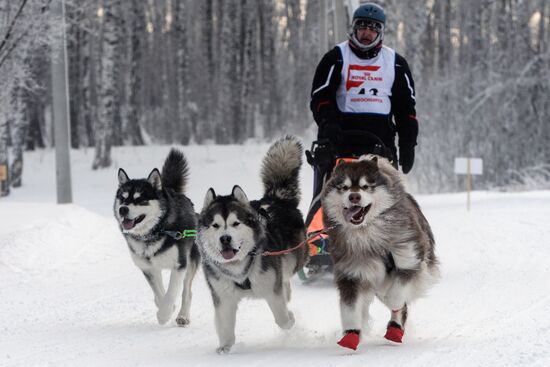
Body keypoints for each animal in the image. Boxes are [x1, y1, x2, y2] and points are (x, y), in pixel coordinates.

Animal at [114, 150, 201, 328]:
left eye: (140, 199)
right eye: (123, 198)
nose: (123, 209)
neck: (155, 232)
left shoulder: (179, 265)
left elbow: (171, 293)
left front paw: (164, 314)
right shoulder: (148, 268)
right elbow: (160, 294)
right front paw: (165, 308)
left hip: (191, 262)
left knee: (187, 292)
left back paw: (183, 316)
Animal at [199, 137, 310, 356]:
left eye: (235, 223)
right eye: (215, 225)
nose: (225, 238)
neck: (239, 270)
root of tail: (275, 199)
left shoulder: (271, 290)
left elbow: (282, 319)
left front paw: (291, 318)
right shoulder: (223, 297)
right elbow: (225, 326)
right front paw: (225, 347)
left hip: (293, 258)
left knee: (285, 277)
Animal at [324, 155, 440, 350]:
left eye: (365, 186)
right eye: (344, 188)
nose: (354, 196)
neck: (368, 234)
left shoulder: (409, 260)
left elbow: (396, 296)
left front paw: (394, 304)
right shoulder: (351, 274)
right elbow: (350, 308)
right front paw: (351, 334)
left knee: (397, 301)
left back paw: (395, 329)